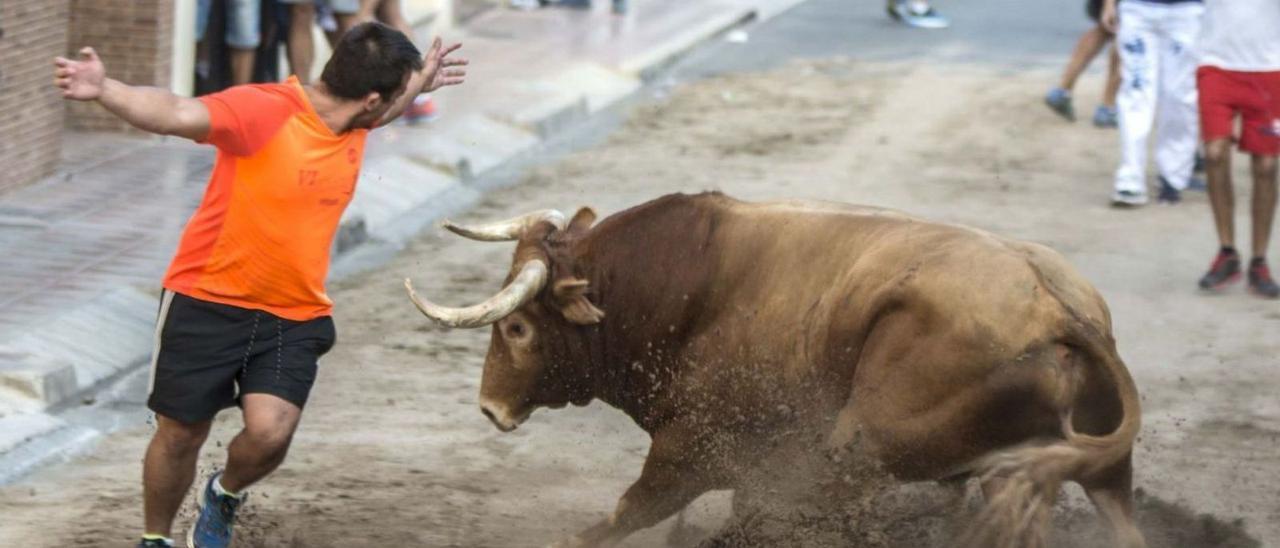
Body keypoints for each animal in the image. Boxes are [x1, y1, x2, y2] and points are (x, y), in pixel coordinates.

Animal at [404, 192, 1146, 548]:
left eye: (517, 327)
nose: (490, 408)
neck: (680, 285)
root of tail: (1057, 308)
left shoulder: (693, 450)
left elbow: (629, 512)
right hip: (1091, 473)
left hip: (863, 448)